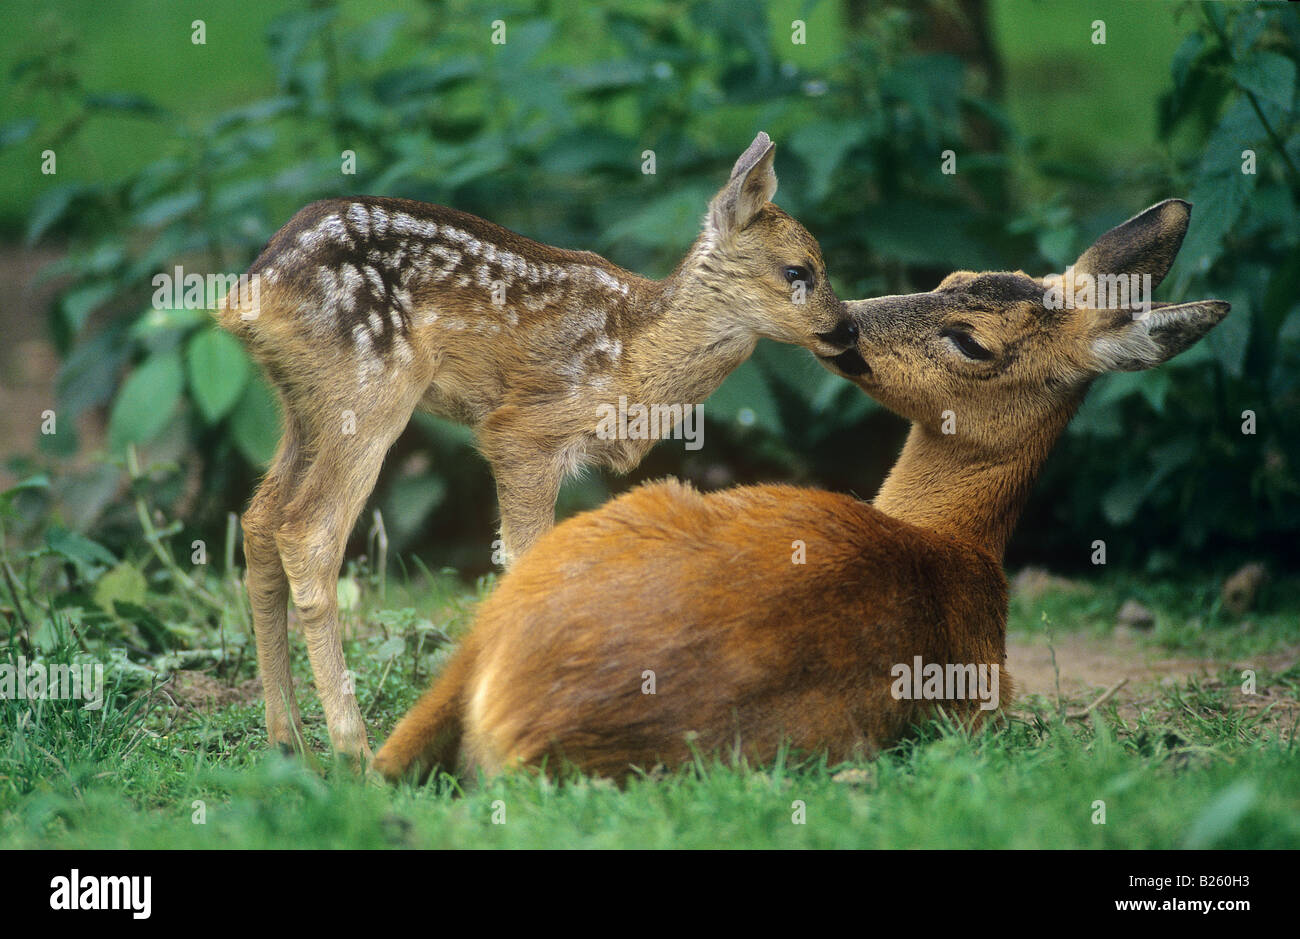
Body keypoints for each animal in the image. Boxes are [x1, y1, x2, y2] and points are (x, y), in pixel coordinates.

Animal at [214, 132, 857, 764]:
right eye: (798, 270)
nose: (848, 330)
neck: (635, 355)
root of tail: (249, 294)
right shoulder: (523, 432)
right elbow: (526, 559)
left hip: (302, 406)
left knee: (259, 520)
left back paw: (287, 739)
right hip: (370, 390)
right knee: (308, 533)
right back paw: (354, 749)